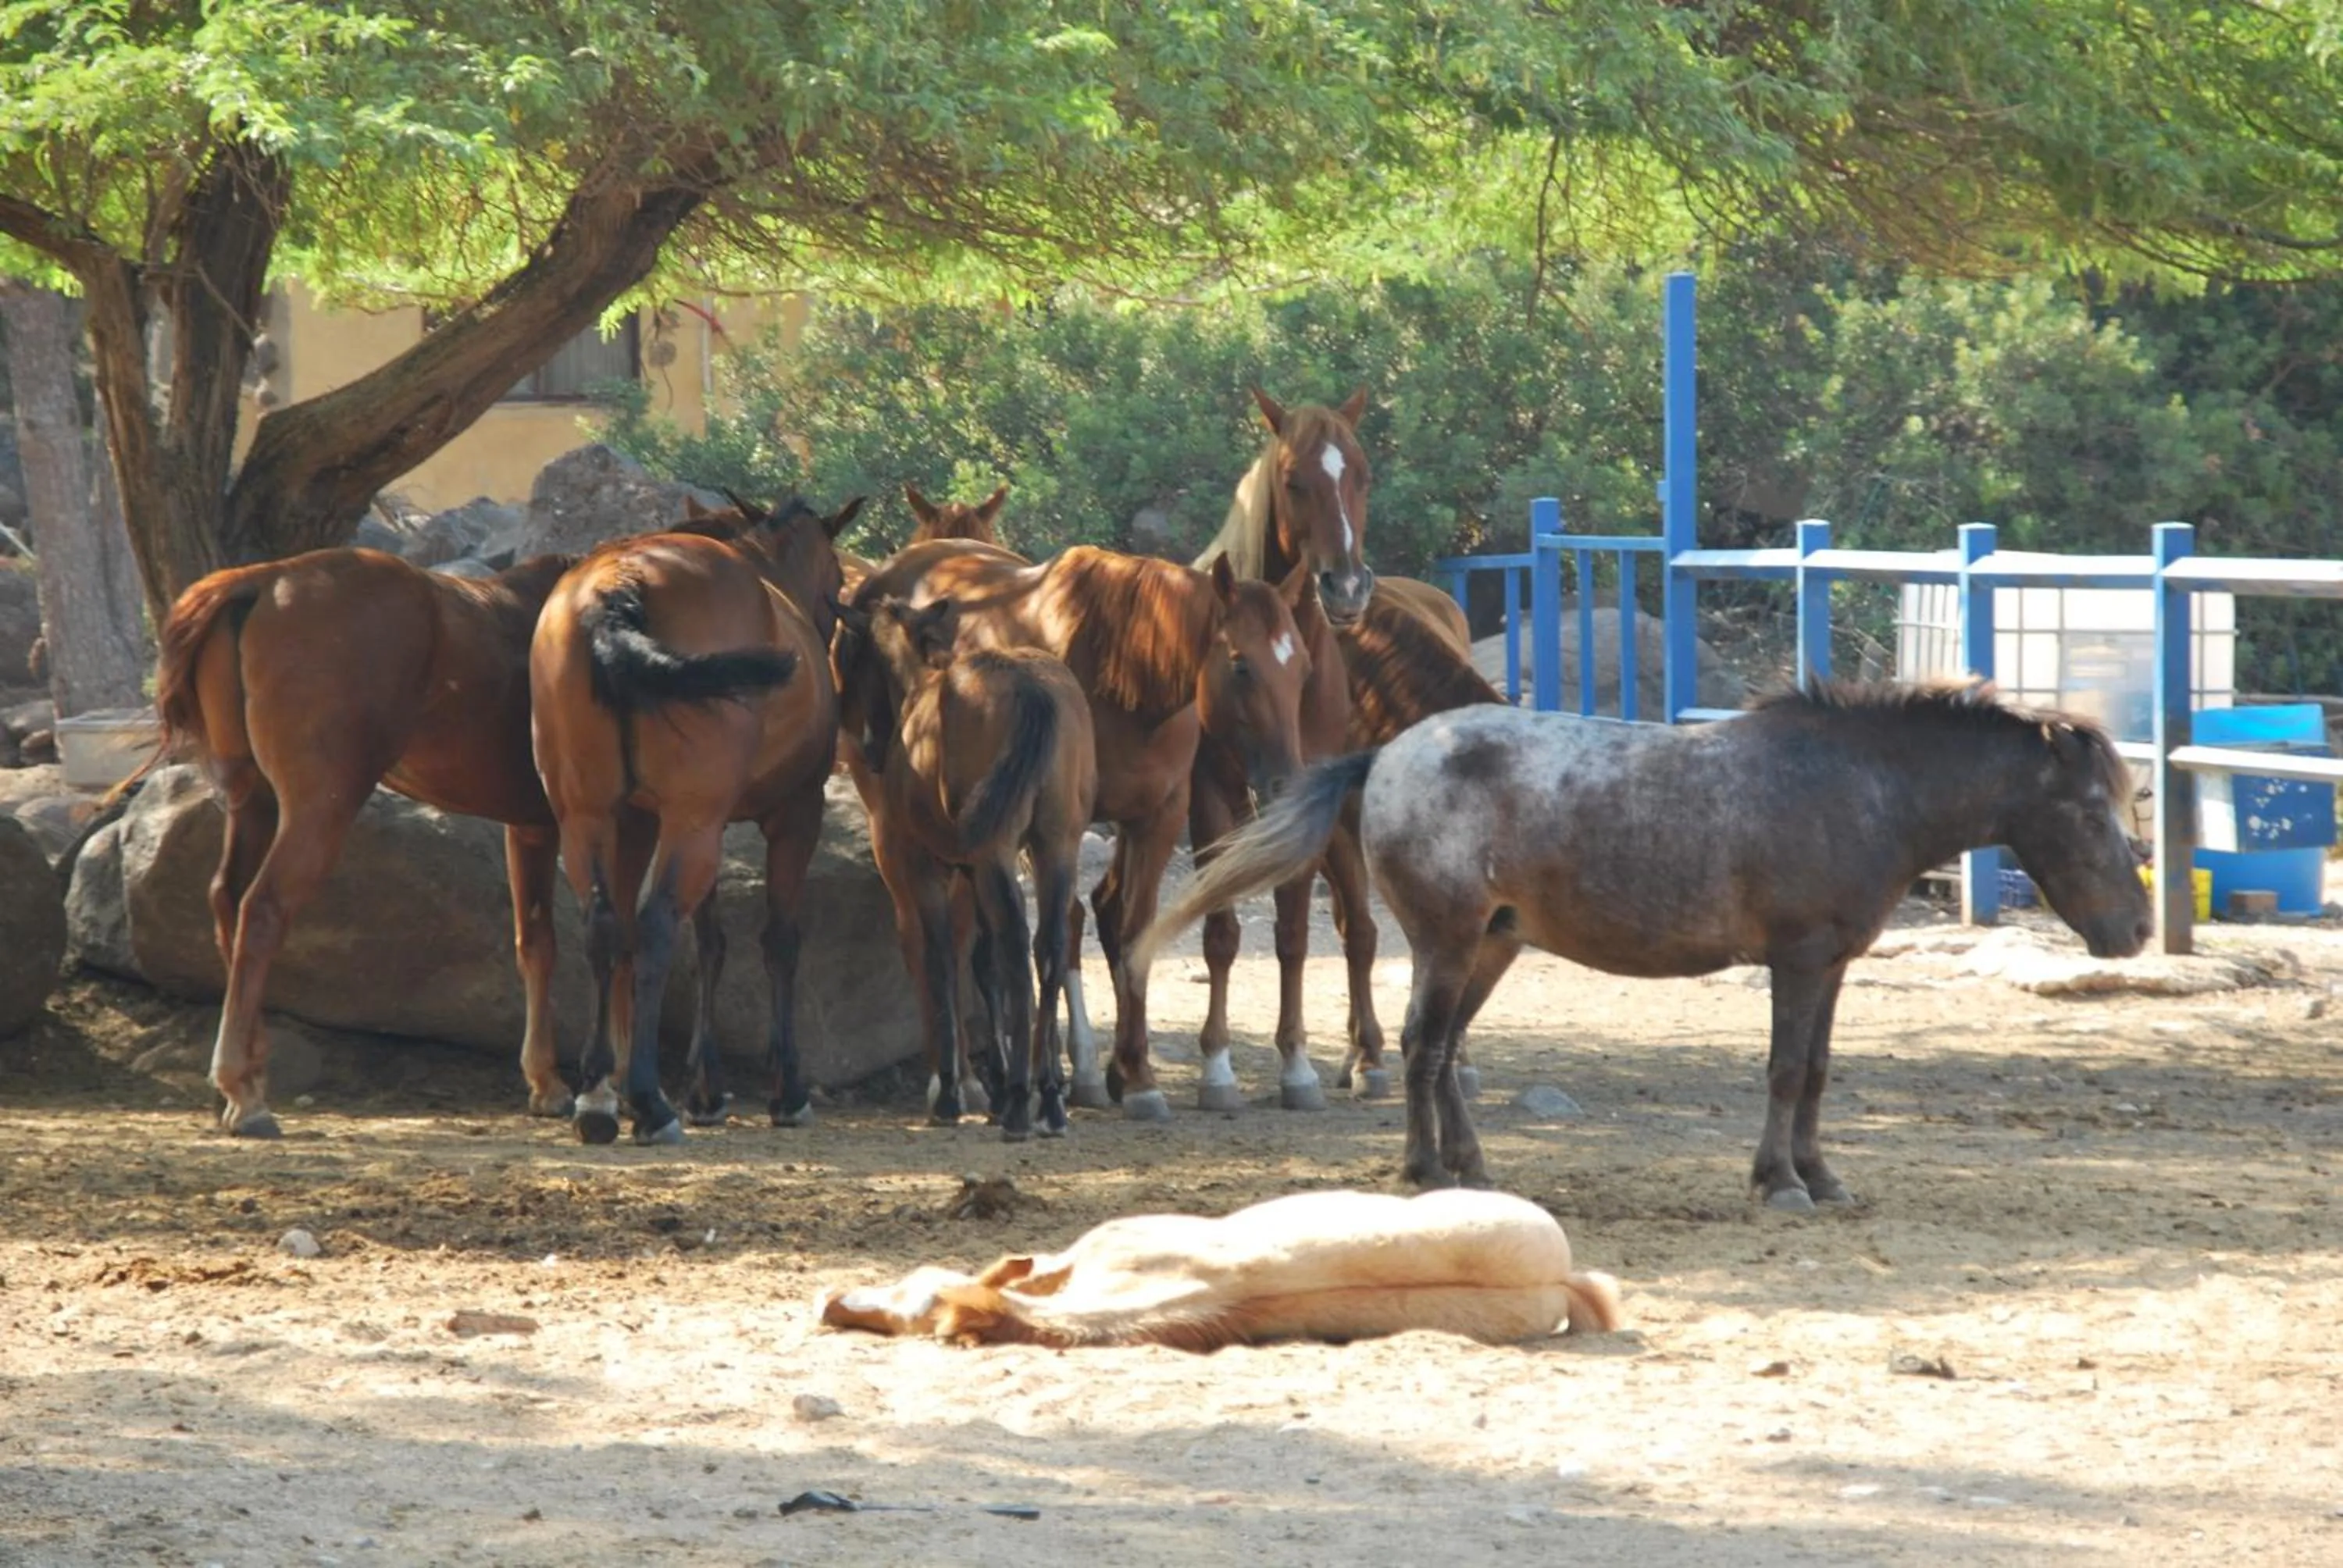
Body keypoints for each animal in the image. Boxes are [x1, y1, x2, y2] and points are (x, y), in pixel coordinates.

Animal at [529, 493, 862, 1144]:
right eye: (837, 577)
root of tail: (620, 582)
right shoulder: (794, 815)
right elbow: (778, 941)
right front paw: (786, 1090)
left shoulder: (645, 822)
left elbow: (708, 942)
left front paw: (705, 1088)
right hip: (692, 822)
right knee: (658, 926)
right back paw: (647, 1101)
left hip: (590, 817)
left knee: (605, 926)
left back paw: (599, 1095)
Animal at [831, 594, 1098, 1139]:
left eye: (855, 661)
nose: (868, 750)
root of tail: (1032, 690)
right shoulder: (974, 870)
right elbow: (983, 964)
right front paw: (999, 1079)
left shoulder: (928, 867)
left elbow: (940, 959)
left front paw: (954, 1091)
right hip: (1056, 846)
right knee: (1049, 945)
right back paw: (1047, 1097)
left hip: (997, 850)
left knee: (1017, 941)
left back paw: (1019, 1103)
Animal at [851, 540, 1313, 1122]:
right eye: (1241, 665)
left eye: (1303, 668)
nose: (1287, 782)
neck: (1128, 676)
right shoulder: (1056, 833)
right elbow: (1065, 931)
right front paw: (1085, 1071)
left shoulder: (1156, 819)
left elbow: (1133, 932)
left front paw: (1136, 1076)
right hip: (898, 834)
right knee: (922, 939)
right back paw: (951, 1080)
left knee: (959, 941)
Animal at [1139, 682, 2153, 1207]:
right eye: (2087, 808)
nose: (2138, 930)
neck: (1859, 783)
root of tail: (1384, 756)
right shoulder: (1797, 960)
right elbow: (1787, 1071)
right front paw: (1780, 1181)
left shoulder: (1829, 965)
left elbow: (1817, 1073)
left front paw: (1820, 1175)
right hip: (1447, 943)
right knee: (1427, 1048)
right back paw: (1426, 1170)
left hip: (1491, 948)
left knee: (1450, 1049)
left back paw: (1472, 1168)